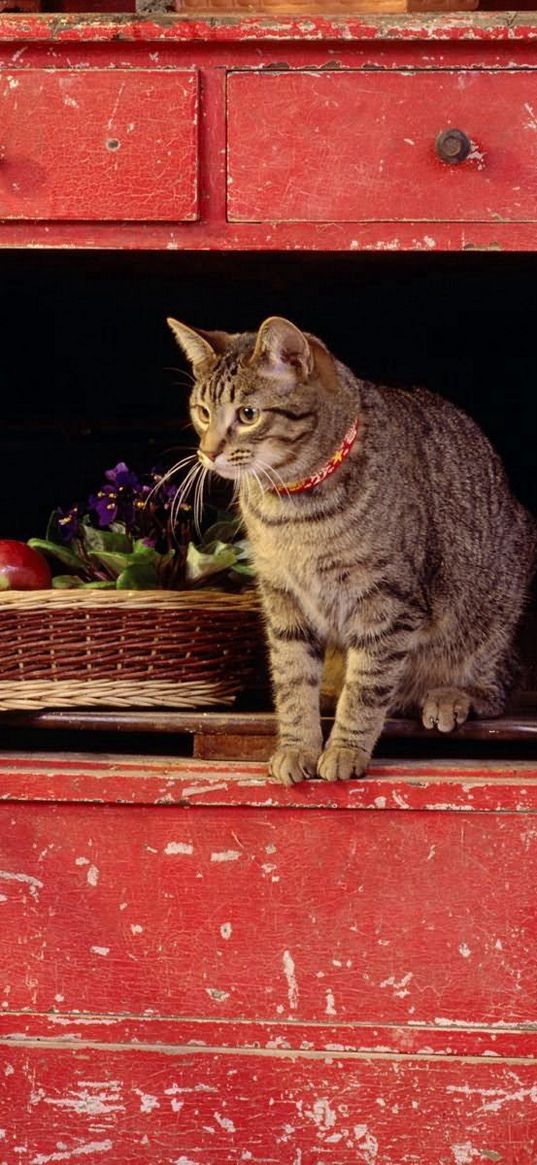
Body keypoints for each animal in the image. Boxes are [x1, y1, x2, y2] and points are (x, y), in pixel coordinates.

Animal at [167, 316, 535, 782]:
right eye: (202, 412)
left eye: (248, 415)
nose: (207, 452)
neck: (293, 507)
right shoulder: (282, 599)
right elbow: (292, 680)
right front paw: (298, 746)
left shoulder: (386, 603)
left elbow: (366, 688)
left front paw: (345, 748)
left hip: (494, 602)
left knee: (496, 682)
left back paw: (450, 696)